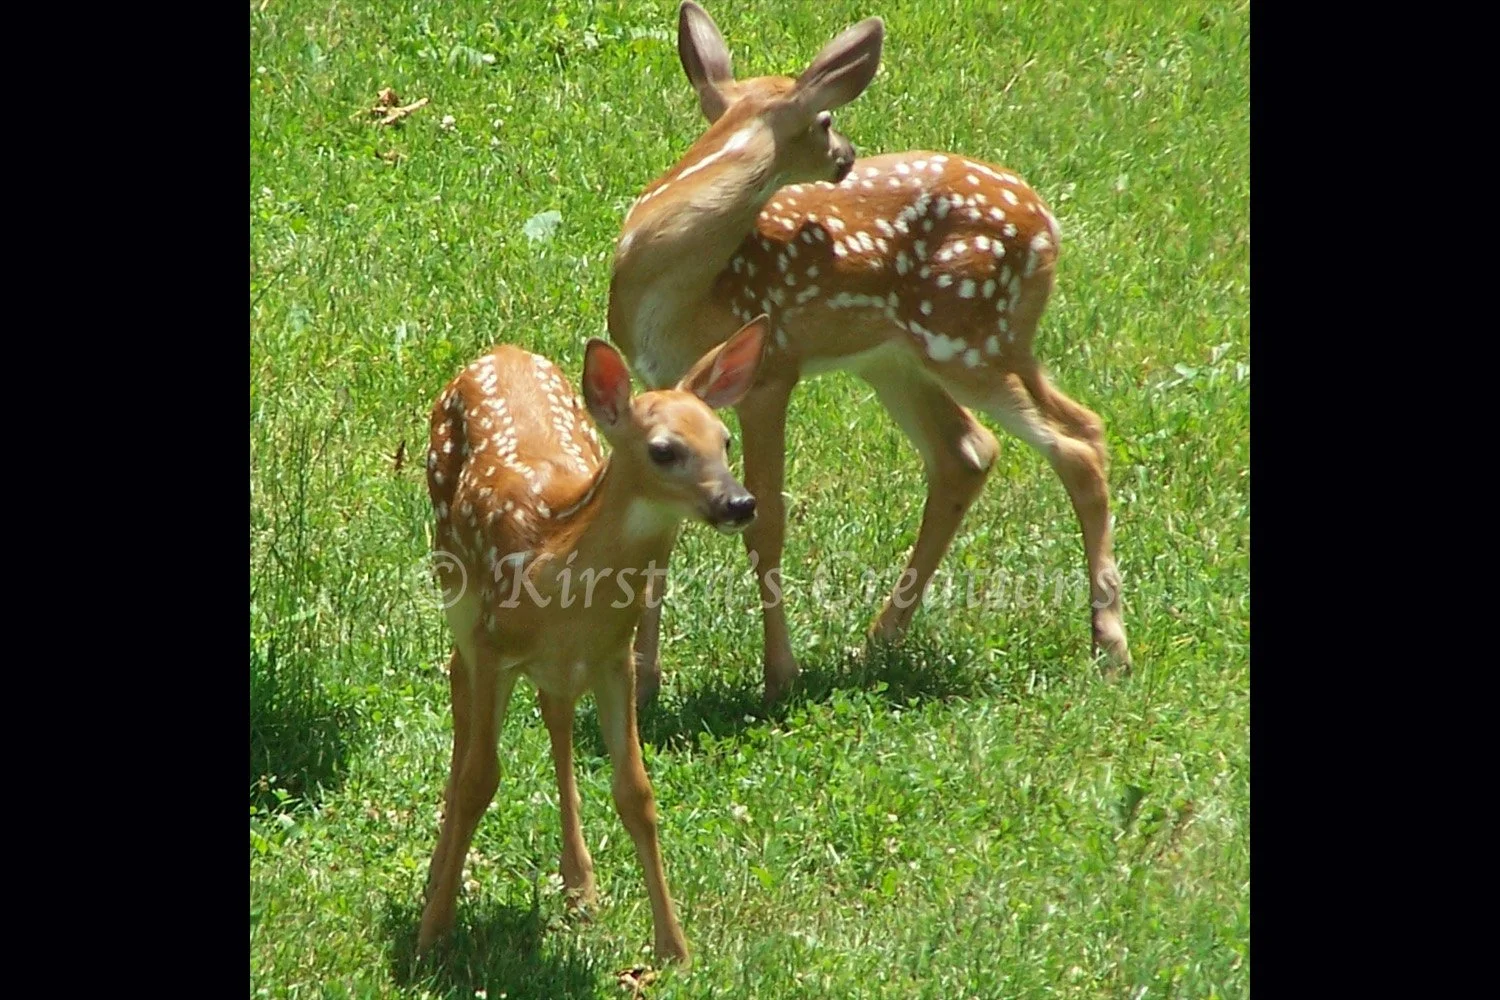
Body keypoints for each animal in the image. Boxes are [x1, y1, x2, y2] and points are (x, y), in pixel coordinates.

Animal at [416, 317, 769, 965]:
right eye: (664, 450)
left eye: (726, 441)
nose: (739, 502)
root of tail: (501, 351)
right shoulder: (495, 644)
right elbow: (480, 779)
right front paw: (432, 935)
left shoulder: (613, 657)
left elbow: (636, 792)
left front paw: (674, 947)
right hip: (454, 580)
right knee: (458, 687)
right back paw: (438, 873)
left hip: (552, 666)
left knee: (554, 713)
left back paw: (579, 883)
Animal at [608, 2, 1131, 708]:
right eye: (828, 120)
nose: (846, 156)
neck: (674, 284)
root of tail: (1048, 222)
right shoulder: (661, 381)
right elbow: (657, 535)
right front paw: (643, 685)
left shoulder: (771, 369)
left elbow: (767, 521)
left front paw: (780, 676)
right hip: (903, 358)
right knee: (978, 449)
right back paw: (877, 642)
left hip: (968, 338)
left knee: (1073, 443)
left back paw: (1110, 647)